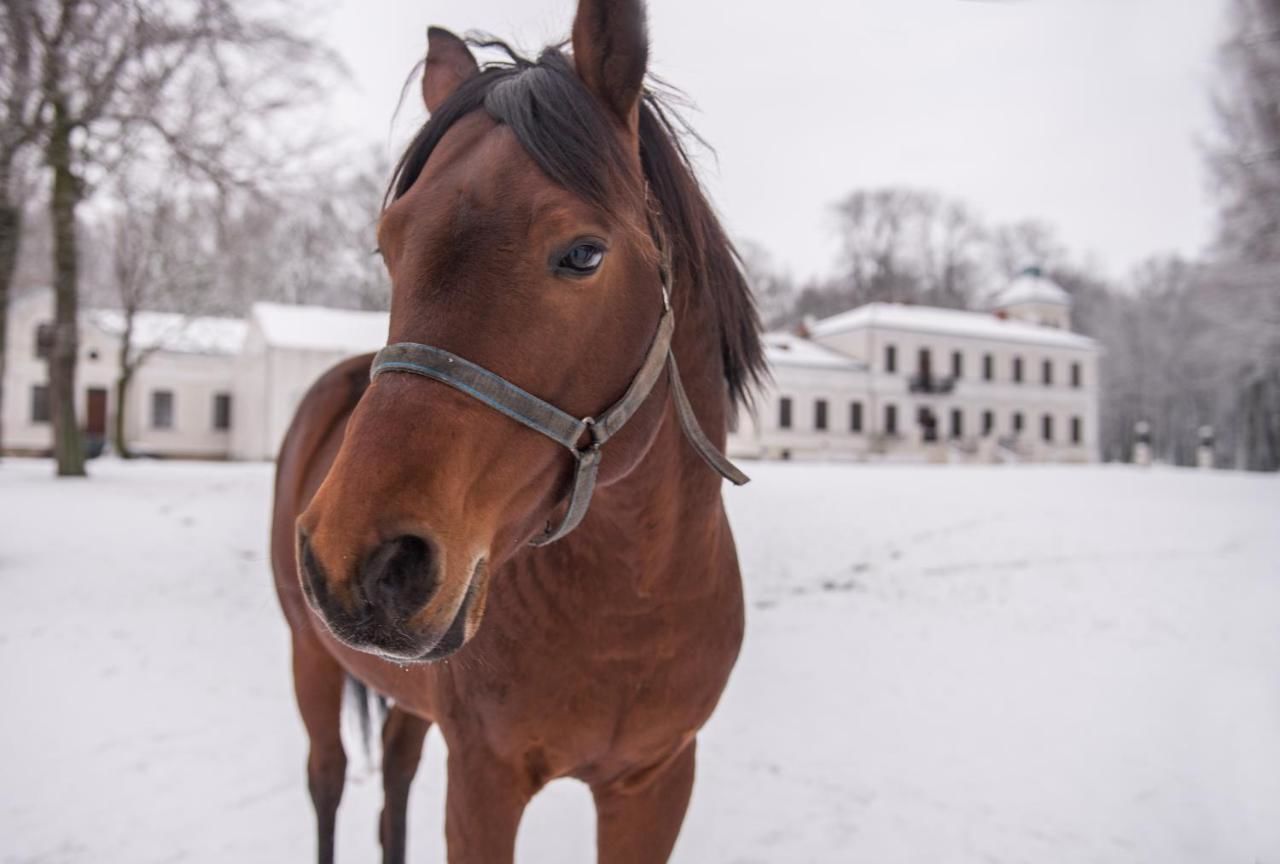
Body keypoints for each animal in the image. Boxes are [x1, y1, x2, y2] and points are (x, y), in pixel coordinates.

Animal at [271, 3, 762, 860]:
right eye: (389, 245)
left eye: (584, 253)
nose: (355, 558)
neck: (629, 609)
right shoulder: (483, 778)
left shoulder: (656, 782)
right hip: (311, 657)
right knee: (327, 781)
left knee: (392, 784)